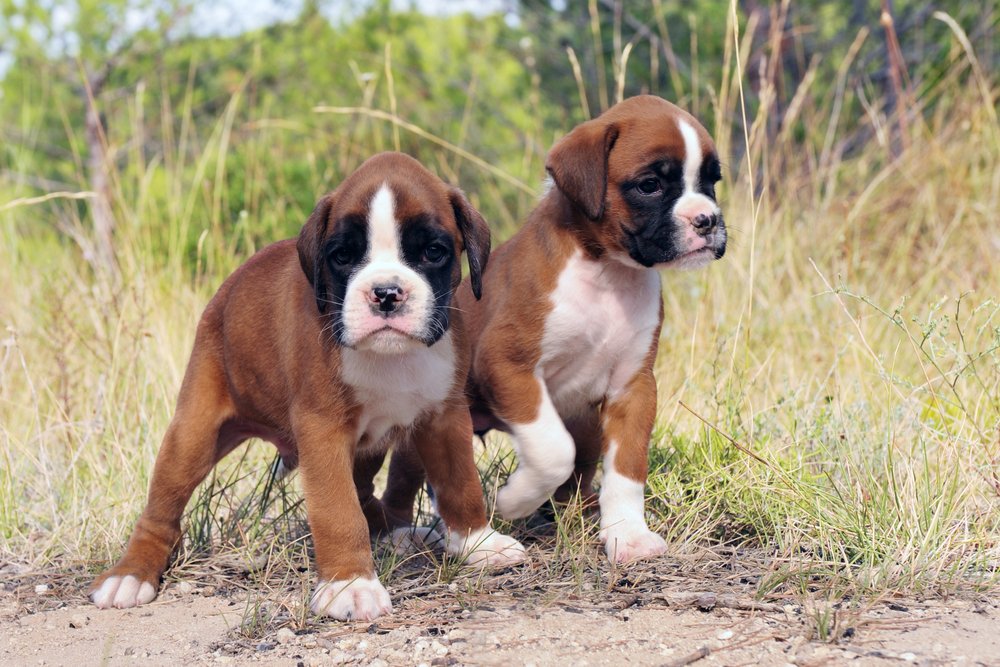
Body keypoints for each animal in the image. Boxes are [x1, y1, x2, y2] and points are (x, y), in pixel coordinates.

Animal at [88, 151, 524, 620]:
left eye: (433, 252)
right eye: (343, 256)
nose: (386, 293)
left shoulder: (444, 417)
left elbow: (461, 483)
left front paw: (479, 542)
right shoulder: (323, 430)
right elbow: (336, 509)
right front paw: (351, 584)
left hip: (370, 444)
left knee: (364, 491)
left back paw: (398, 532)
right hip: (192, 437)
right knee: (162, 508)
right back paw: (129, 576)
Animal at [384, 94, 728, 564]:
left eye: (712, 181)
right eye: (650, 185)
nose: (707, 219)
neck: (606, 272)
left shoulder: (633, 388)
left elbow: (626, 469)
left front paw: (628, 534)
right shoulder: (508, 365)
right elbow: (553, 450)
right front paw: (514, 500)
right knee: (403, 483)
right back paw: (403, 535)